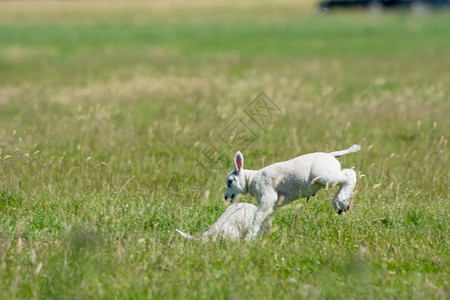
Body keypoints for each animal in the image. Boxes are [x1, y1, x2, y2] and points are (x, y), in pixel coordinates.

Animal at [225, 144, 362, 240]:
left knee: (350, 175)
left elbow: (257, 218)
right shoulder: (270, 205)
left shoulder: (267, 195)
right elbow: (265, 219)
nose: (226, 198)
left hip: (324, 176)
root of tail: (331, 155)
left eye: (230, 181)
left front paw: (248, 239)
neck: (251, 180)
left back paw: (340, 202)